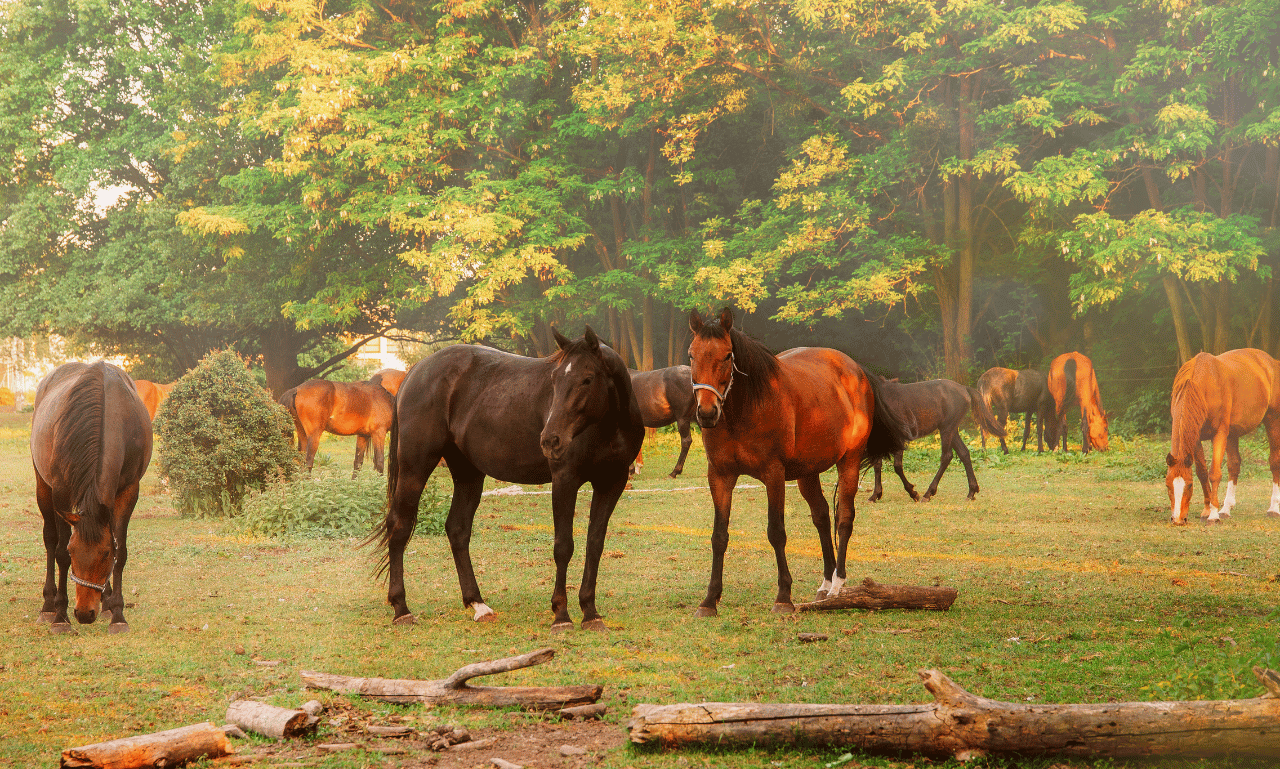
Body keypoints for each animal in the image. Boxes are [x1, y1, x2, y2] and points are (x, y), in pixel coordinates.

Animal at [30, 361, 153, 634]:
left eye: (105, 554)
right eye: (74, 550)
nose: (84, 613)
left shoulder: (129, 491)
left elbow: (121, 550)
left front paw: (117, 613)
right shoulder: (60, 492)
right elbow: (59, 552)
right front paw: (60, 616)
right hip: (42, 486)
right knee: (50, 540)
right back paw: (47, 606)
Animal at [374, 327, 644, 629]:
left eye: (587, 379)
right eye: (554, 379)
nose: (551, 440)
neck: (608, 427)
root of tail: (415, 372)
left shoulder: (612, 483)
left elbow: (594, 544)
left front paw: (590, 612)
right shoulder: (565, 480)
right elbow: (563, 546)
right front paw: (561, 615)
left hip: (468, 473)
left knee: (457, 529)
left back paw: (477, 603)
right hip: (415, 467)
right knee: (399, 526)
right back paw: (402, 609)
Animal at [686, 308, 912, 616]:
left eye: (728, 355)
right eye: (691, 355)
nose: (707, 412)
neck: (745, 409)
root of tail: (857, 371)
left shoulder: (773, 475)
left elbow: (776, 532)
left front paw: (783, 597)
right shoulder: (720, 477)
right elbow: (719, 536)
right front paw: (709, 600)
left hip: (849, 462)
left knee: (844, 518)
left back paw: (837, 585)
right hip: (807, 473)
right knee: (822, 516)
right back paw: (825, 583)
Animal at [868, 377, 1006, 502]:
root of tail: (964, 388)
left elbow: (897, 466)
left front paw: (913, 493)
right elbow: (877, 465)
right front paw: (875, 495)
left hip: (947, 429)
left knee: (947, 456)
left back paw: (928, 494)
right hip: (951, 430)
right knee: (964, 453)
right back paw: (971, 492)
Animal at [1165, 348, 1280, 525]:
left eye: (1189, 485)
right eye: (1168, 486)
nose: (1178, 519)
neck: (1204, 384)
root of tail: (1272, 362)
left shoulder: (1219, 434)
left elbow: (1214, 473)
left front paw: (1213, 515)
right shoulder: (1197, 438)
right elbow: (1202, 472)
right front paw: (1206, 511)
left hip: (1272, 420)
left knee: (1274, 462)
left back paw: (1273, 508)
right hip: (1232, 434)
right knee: (1234, 465)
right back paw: (1226, 509)